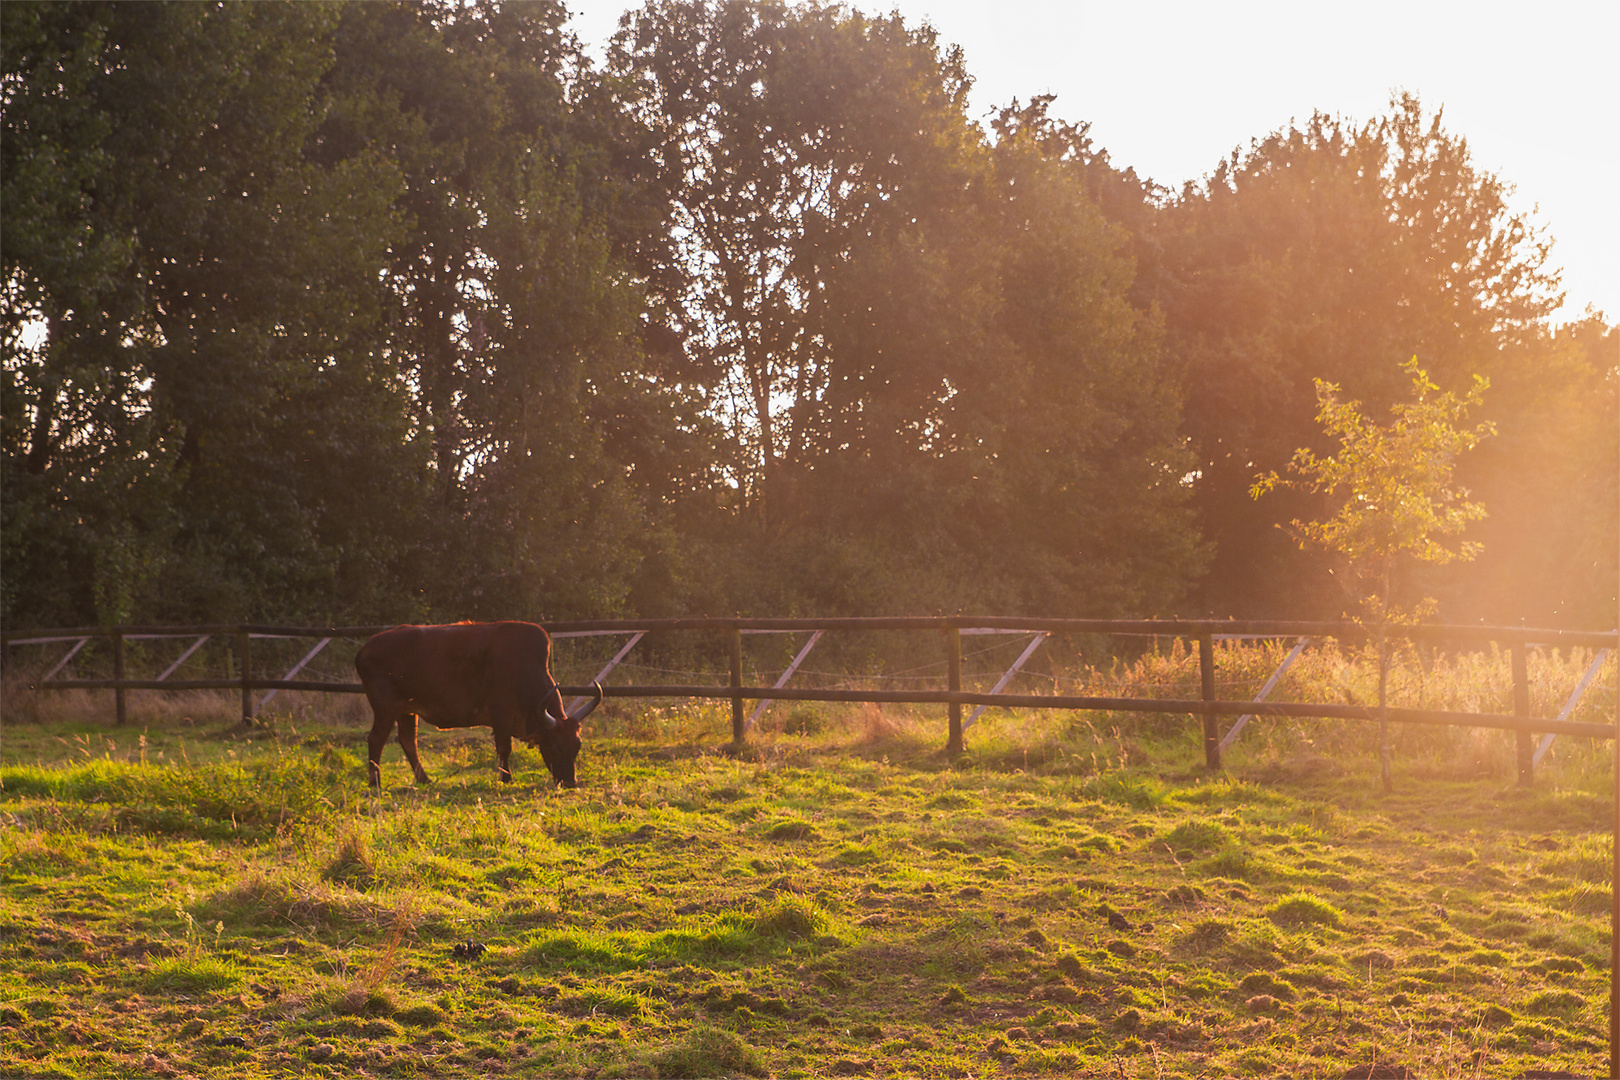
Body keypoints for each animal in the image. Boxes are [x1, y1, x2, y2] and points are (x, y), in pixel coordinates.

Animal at [354, 621, 602, 790]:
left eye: (577, 746)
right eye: (555, 746)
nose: (570, 782)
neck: (523, 666)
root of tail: (365, 648)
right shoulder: (501, 717)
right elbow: (504, 748)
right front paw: (506, 778)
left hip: (407, 712)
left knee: (408, 741)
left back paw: (424, 779)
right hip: (385, 710)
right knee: (376, 739)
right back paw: (375, 782)